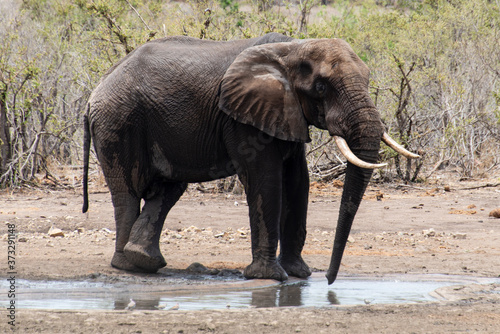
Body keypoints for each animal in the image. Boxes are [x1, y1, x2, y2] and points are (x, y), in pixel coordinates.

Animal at [83, 33, 418, 284]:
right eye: (322, 87)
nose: (329, 281)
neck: (292, 49)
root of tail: (95, 91)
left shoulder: (284, 112)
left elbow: (298, 181)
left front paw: (299, 274)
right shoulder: (242, 117)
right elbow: (266, 180)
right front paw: (270, 277)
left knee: (168, 189)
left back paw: (143, 261)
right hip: (119, 120)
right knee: (128, 193)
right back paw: (127, 265)